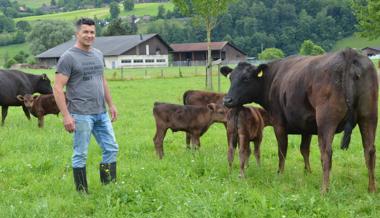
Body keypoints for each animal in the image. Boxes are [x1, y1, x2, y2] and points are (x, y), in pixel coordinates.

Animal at [221, 48, 378, 192]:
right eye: (230, 78)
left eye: (246, 78)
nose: (227, 100)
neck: (272, 79)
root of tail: (348, 53)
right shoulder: (306, 125)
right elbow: (304, 149)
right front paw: (308, 172)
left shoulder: (279, 122)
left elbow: (282, 149)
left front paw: (280, 173)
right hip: (369, 116)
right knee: (369, 150)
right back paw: (371, 189)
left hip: (326, 120)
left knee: (326, 152)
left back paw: (324, 189)